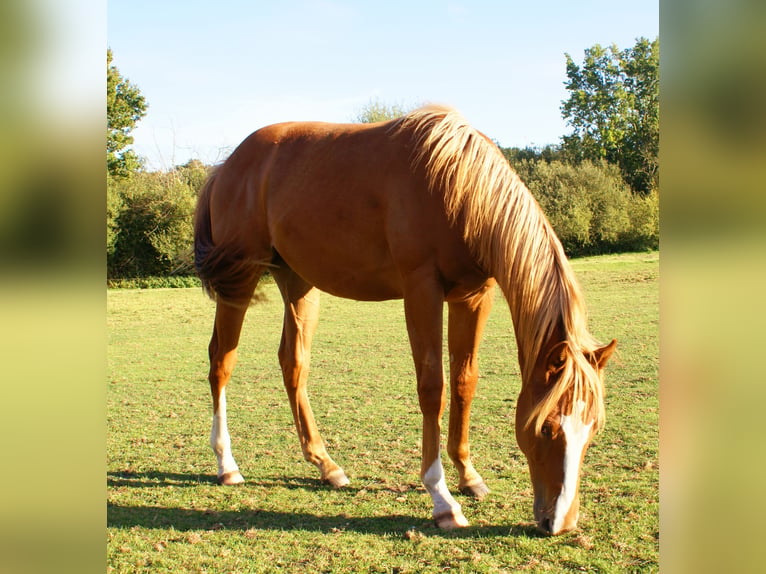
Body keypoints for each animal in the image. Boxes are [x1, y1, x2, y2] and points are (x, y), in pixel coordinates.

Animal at [193, 105, 617, 535]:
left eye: (593, 428)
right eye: (547, 427)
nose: (561, 523)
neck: (457, 187)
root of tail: (227, 166)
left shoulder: (473, 297)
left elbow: (465, 381)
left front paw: (468, 475)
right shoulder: (421, 290)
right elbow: (433, 389)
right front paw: (442, 499)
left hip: (297, 281)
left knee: (293, 364)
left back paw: (326, 465)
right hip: (240, 280)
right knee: (221, 361)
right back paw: (227, 464)